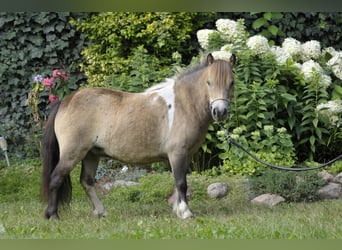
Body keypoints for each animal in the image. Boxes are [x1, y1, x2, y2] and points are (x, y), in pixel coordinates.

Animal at [41, 53, 235, 219]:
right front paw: (185, 212)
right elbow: (181, 183)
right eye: (209, 82)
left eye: (232, 83)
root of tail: (65, 101)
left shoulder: (184, 156)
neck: (183, 104)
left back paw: (101, 212)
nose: (220, 112)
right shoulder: (177, 153)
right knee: (56, 178)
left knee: (87, 182)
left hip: (91, 154)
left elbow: (177, 183)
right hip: (72, 153)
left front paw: (178, 209)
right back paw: (53, 215)